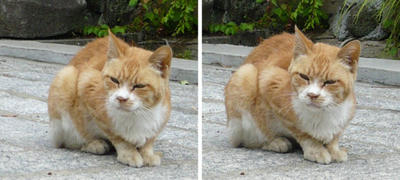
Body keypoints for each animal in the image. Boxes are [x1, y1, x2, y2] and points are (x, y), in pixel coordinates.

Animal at [47, 29, 172, 167]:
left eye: (139, 86)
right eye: (114, 80)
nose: (121, 98)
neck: (136, 114)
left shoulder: (162, 116)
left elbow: (149, 139)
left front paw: (148, 154)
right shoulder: (87, 85)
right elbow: (117, 136)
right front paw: (129, 153)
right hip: (65, 78)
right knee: (70, 141)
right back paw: (94, 144)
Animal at [227, 26, 360, 164]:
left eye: (330, 82)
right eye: (304, 76)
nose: (312, 95)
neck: (322, 113)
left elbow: (335, 136)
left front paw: (334, 149)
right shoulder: (269, 80)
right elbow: (302, 132)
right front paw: (316, 150)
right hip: (245, 75)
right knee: (250, 139)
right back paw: (275, 142)